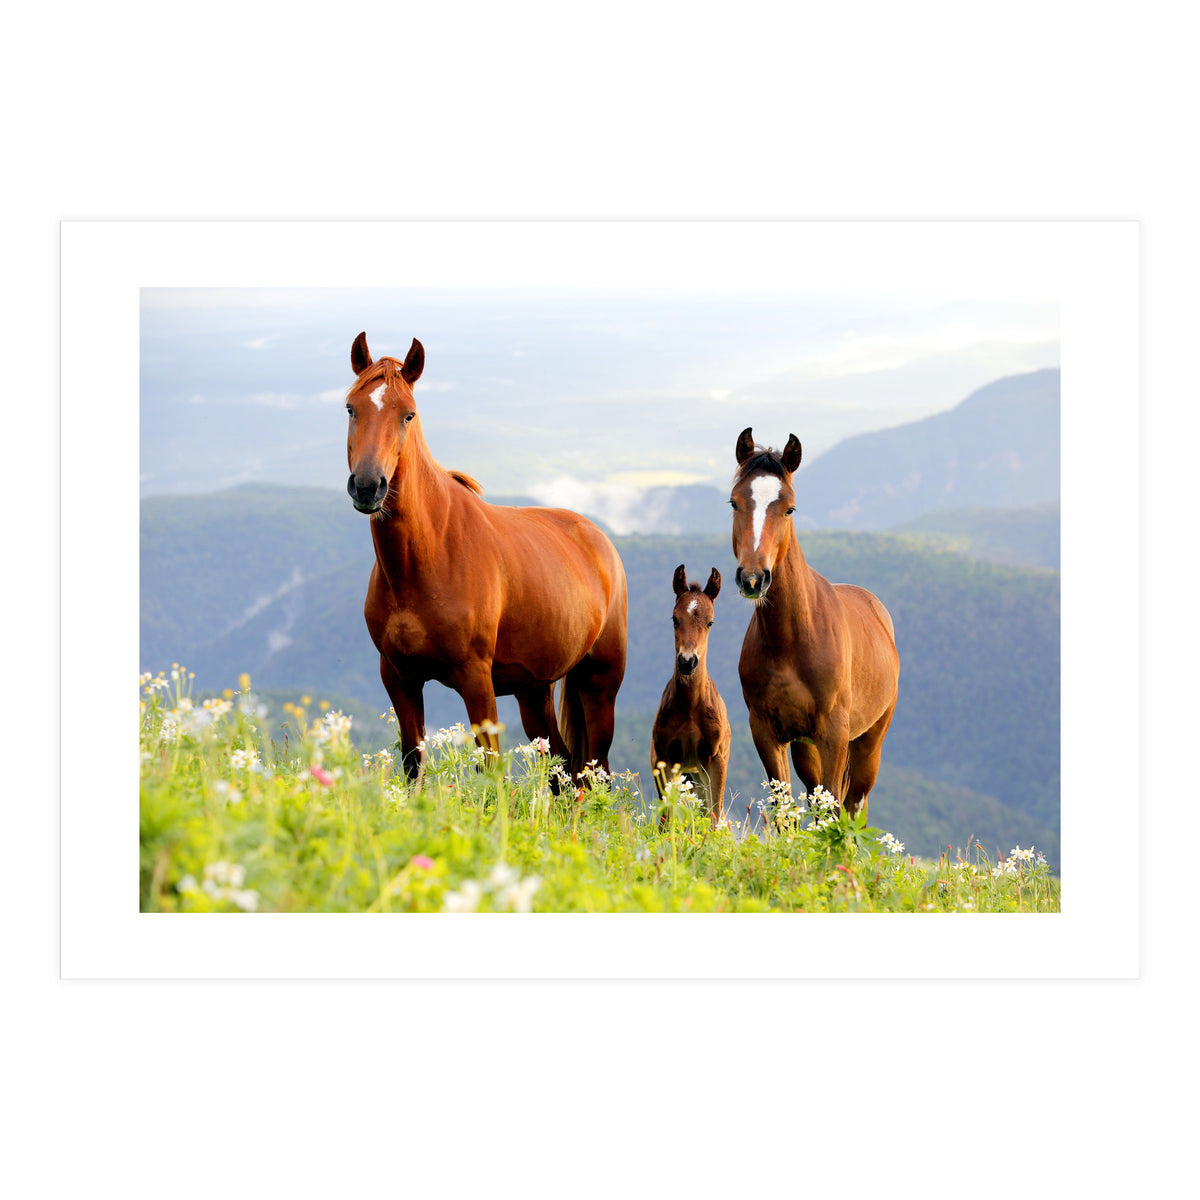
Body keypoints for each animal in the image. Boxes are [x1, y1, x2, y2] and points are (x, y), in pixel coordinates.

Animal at [344, 332, 628, 781]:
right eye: (351, 407)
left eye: (408, 415)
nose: (369, 486)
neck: (426, 558)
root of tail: (600, 541)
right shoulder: (399, 677)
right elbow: (412, 762)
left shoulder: (476, 678)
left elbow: (491, 769)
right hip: (534, 691)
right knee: (562, 768)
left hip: (599, 683)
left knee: (593, 772)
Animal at [650, 565, 732, 825]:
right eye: (675, 619)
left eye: (710, 622)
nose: (687, 661)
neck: (690, 707)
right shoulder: (664, 758)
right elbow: (666, 818)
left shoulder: (715, 759)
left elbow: (714, 816)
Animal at [730, 427, 899, 820]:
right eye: (734, 503)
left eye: (789, 508)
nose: (753, 579)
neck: (791, 639)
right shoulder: (767, 732)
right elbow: (784, 810)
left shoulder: (833, 734)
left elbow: (836, 807)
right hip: (805, 748)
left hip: (868, 741)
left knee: (854, 803)